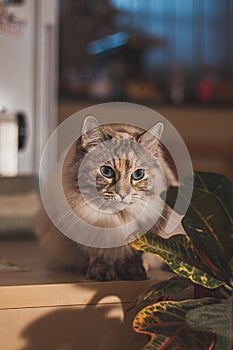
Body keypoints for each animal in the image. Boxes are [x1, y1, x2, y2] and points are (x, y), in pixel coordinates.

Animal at [36, 116, 178, 280]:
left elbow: (135, 254)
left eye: (138, 174)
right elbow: (99, 255)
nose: (123, 194)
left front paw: (134, 272)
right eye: (106, 172)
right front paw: (101, 272)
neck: (115, 219)